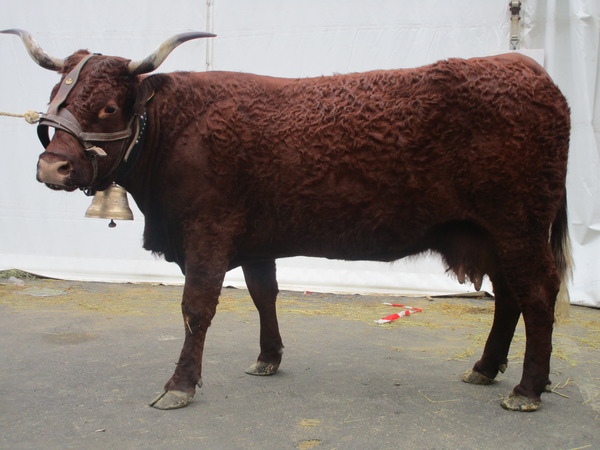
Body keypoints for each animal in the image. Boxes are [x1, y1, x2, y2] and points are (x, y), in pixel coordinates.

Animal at [1, 29, 572, 412]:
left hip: (519, 228)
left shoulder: (206, 234)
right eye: (55, 97)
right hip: (492, 234)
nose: (52, 166)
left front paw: (179, 385)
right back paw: (486, 369)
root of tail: (526, 67)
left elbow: (196, 308)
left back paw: (526, 389)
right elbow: (263, 294)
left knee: (537, 295)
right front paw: (268, 358)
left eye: (109, 106)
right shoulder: (255, 240)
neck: (180, 126)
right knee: (509, 297)